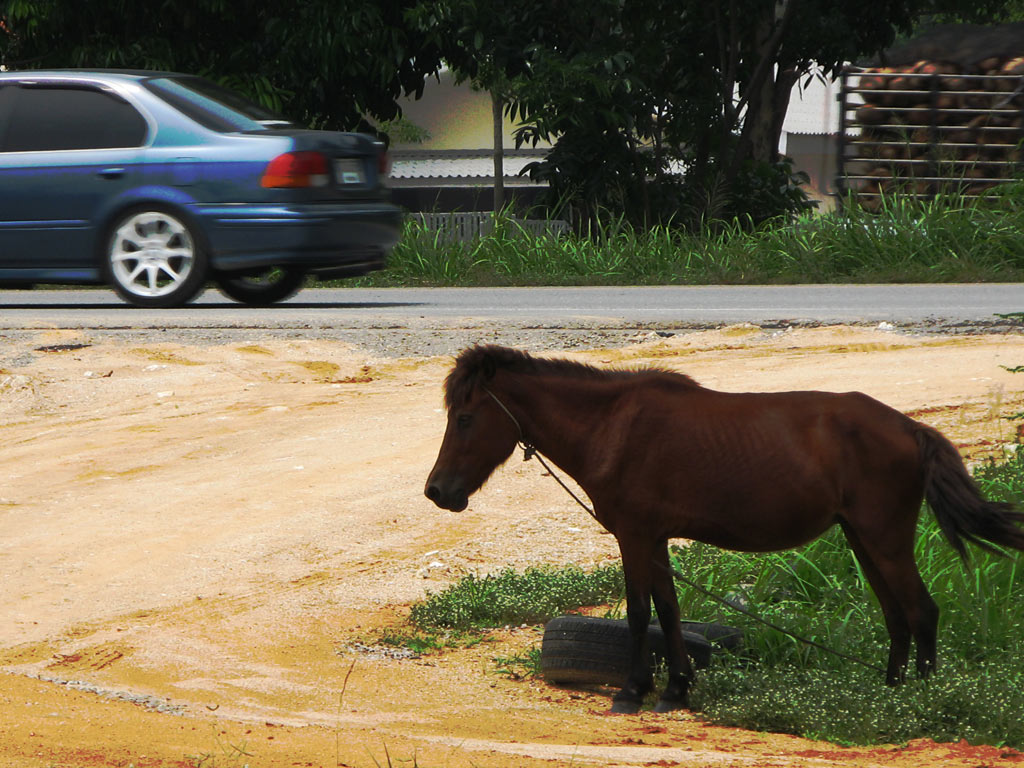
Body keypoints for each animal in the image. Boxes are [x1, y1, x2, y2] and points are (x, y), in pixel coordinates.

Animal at [421, 346, 1024, 712]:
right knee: (897, 616)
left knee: (921, 612)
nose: (437, 492)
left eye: (466, 418)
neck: (612, 427)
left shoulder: (634, 537)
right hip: (863, 539)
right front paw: (676, 688)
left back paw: (916, 703)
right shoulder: (655, 540)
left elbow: (638, 614)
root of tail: (909, 428)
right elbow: (667, 611)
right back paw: (890, 692)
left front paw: (633, 691)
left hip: (885, 538)